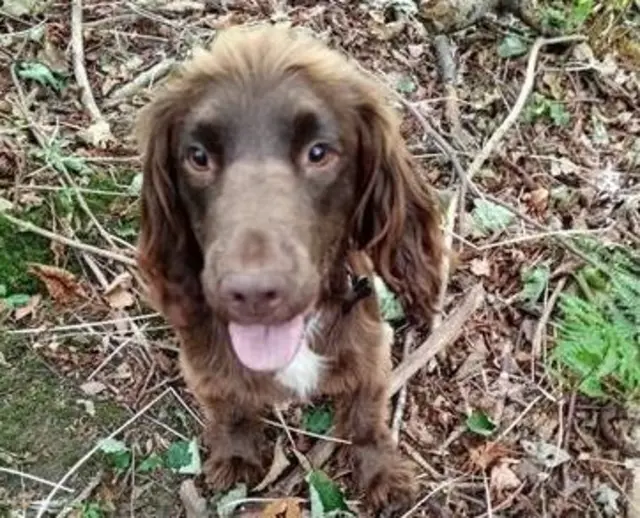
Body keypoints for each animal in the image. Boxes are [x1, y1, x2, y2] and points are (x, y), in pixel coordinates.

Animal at [136, 25, 440, 516]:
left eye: (319, 153)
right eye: (198, 157)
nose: (253, 294)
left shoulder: (369, 349)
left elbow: (366, 417)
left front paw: (381, 474)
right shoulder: (203, 360)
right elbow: (230, 406)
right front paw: (236, 455)